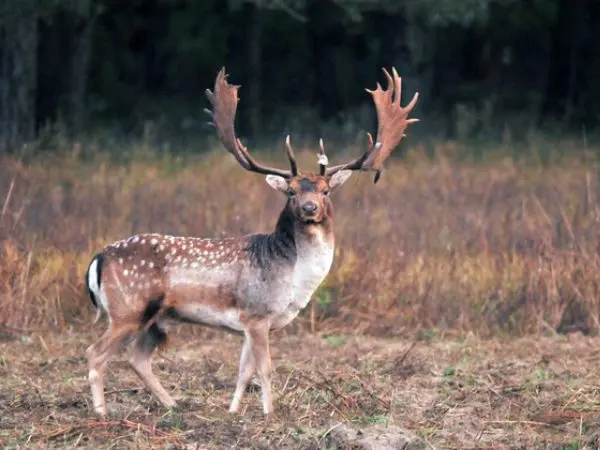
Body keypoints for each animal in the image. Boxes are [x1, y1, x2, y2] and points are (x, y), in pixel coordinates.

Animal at [85, 67, 418, 418]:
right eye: (291, 191)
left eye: (325, 190)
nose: (309, 208)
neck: (294, 283)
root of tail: (98, 259)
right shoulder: (258, 314)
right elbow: (265, 369)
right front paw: (270, 414)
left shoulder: (251, 321)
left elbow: (244, 371)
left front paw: (233, 413)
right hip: (128, 308)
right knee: (95, 352)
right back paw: (101, 412)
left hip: (156, 319)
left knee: (137, 358)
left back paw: (173, 405)